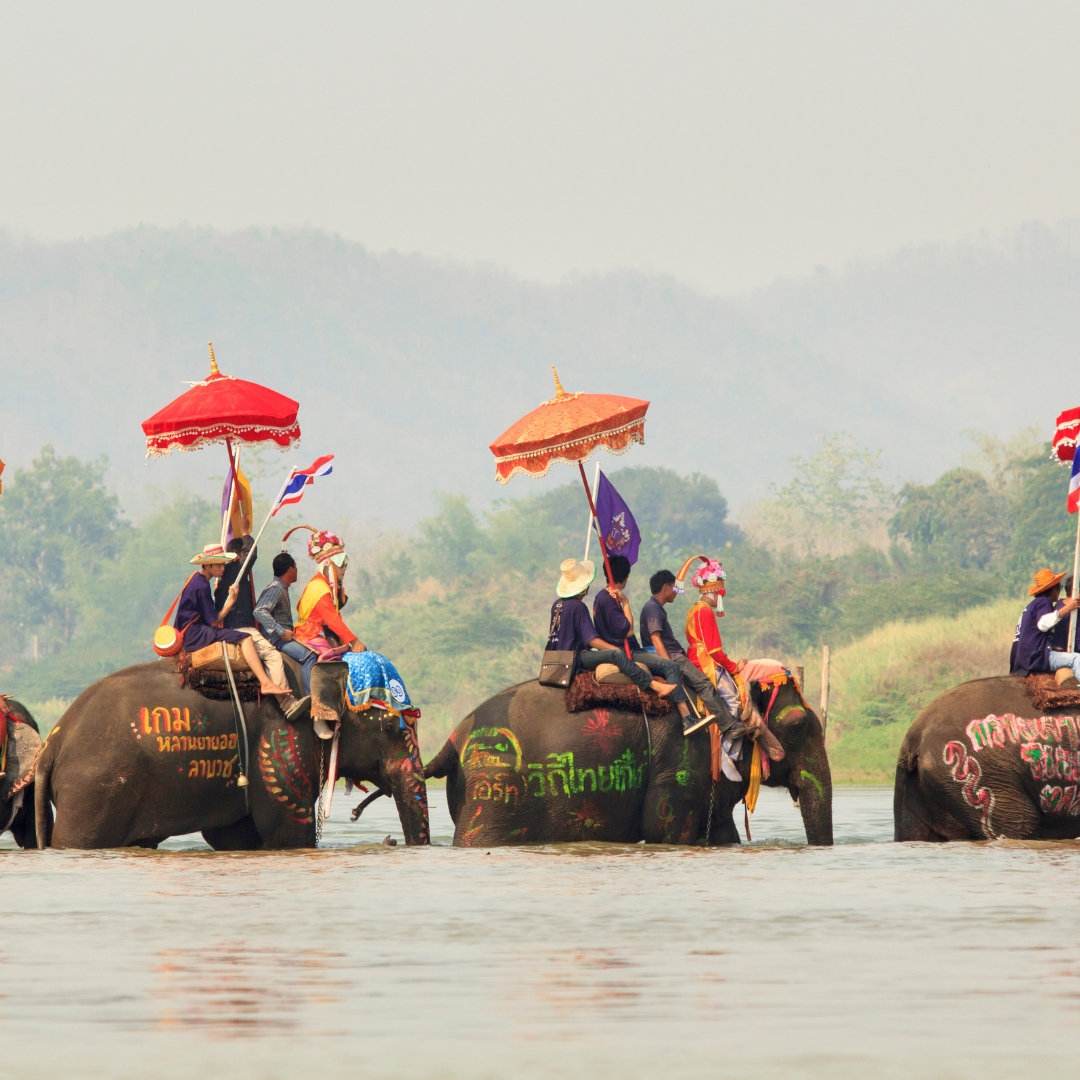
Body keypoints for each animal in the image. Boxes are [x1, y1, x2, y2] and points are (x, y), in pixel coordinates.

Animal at [33, 652, 429, 846]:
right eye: (391, 729)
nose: (392, 841)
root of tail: (52, 742)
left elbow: (235, 836)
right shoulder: (282, 739)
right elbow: (285, 832)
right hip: (94, 790)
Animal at [421, 673, 833, 842]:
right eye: (798, 728)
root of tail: (453, 738)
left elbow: (722, 833)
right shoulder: (680, 764)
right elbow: (664, 828)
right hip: (493, 795)